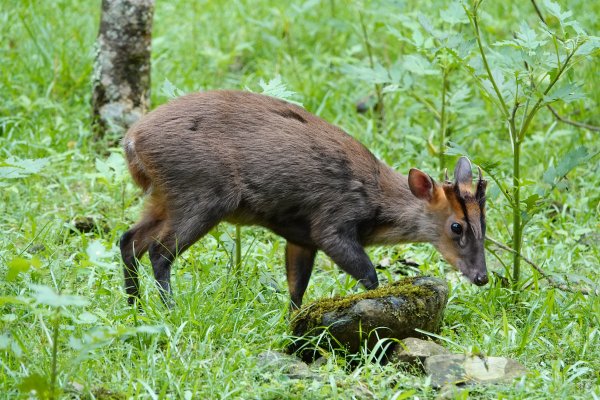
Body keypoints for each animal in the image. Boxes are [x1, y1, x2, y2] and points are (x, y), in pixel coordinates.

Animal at [119, 91, 490, 310]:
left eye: (484, 224)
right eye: (456, 226)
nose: (482, 277)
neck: (376, 204)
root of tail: (132, 140)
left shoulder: (301, 238)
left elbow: (296, 290)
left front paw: (293, 326)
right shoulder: (332, 224)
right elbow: (370, 276)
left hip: (165, 196)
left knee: (129, 239)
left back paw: (135, 307)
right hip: (201, 195)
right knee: (159, 252)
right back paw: (169, 310)